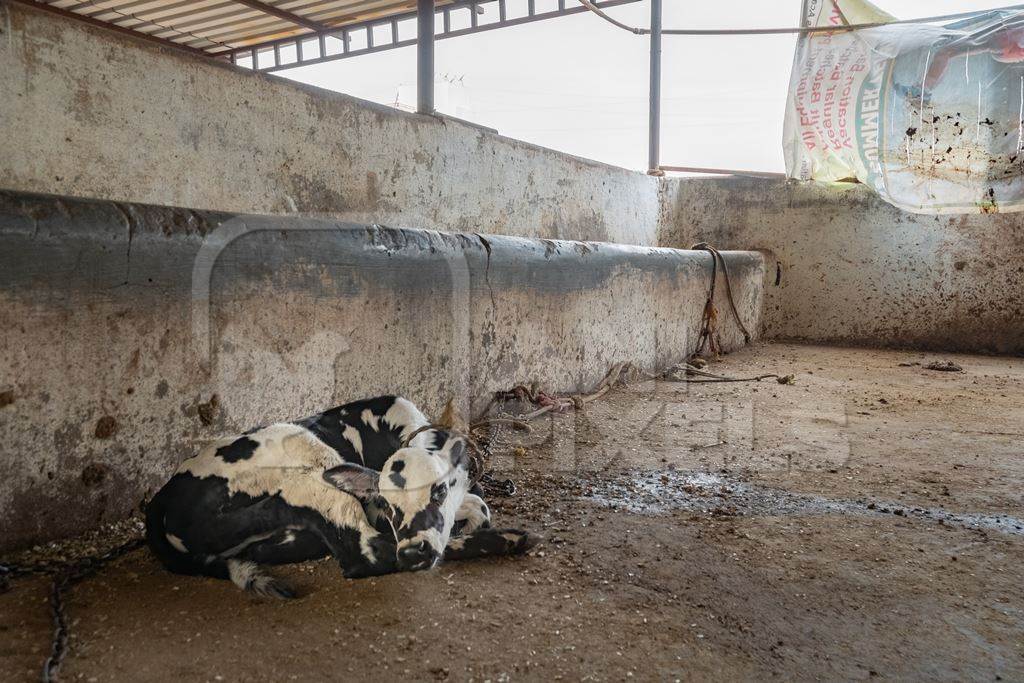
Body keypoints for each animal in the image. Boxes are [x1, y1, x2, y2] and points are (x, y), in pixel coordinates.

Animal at [149, 395, 544, 598]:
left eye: (439, 490)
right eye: (386, 503)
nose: (413, 552)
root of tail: (160, 499)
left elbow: (479, 505)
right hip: (308, 460)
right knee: (366, 554)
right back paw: (512, 539)